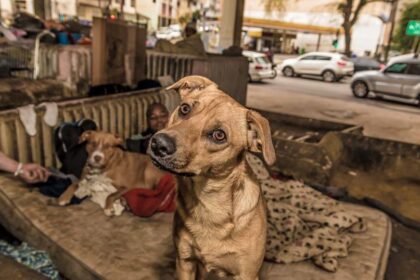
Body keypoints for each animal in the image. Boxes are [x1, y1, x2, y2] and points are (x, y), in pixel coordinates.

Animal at [148, 75, 276, 278]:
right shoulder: (185, 262)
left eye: (218, 135)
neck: (208, 204)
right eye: (185, 109)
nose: (159, 144)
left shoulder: (247, 274)